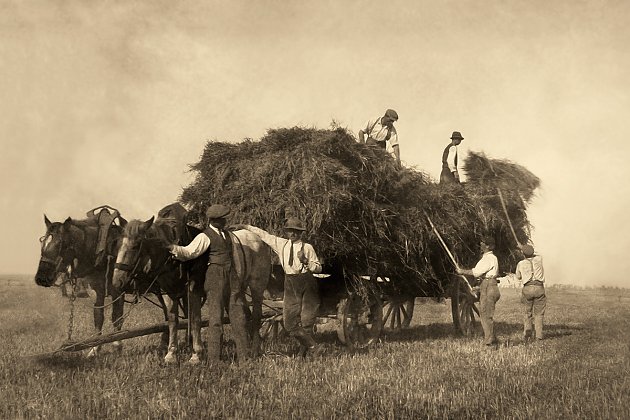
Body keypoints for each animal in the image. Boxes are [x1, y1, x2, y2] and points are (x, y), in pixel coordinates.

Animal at [35, 213, 128, 354]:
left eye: (60, 244)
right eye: (43, 243)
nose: (41, 278)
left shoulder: (118, 292)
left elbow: (117, 317)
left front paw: (117, 344)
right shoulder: (97, 291)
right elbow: (98, 317)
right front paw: (95, 348)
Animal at [113, 217, 272, 364]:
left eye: (136, 246)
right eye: (118, 244)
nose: (117, 281)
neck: (175, 260)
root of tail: (258, 239)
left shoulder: (193, 292)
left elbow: (195, 320)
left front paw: (196, 355)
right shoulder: (169, 294)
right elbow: (173, 321)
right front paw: (171, 354)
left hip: (257, 287)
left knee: (256, 315)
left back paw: (256, 348)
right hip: (238, 289)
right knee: (245, 313)